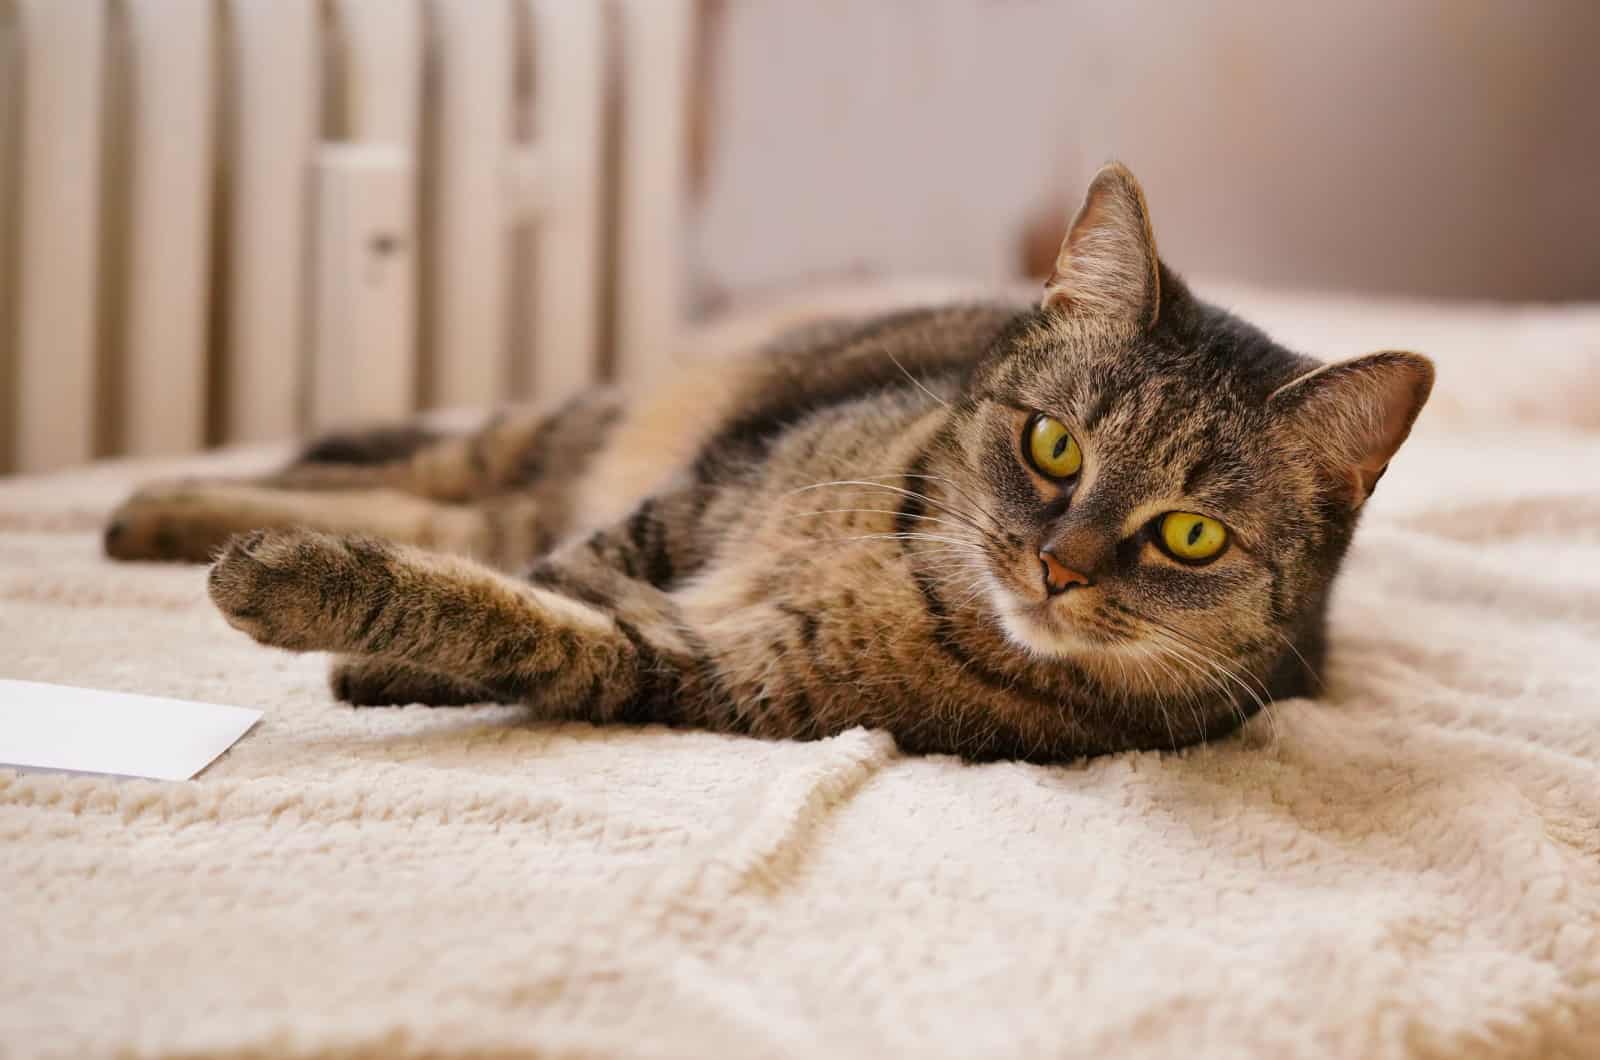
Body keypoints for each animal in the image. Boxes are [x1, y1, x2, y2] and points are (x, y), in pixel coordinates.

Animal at [109, 164, 1440, 765]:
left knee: (451, 518)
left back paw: (158, 517)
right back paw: (154, 506)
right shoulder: (695, 493)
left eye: (1190, 535)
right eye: (1053, 445)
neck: (918, 577)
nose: (1055, 566)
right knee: (440, 480)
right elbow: (560, 568)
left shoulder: (696, 668)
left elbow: (509, 614)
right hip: (582, 432)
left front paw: (332, 616)